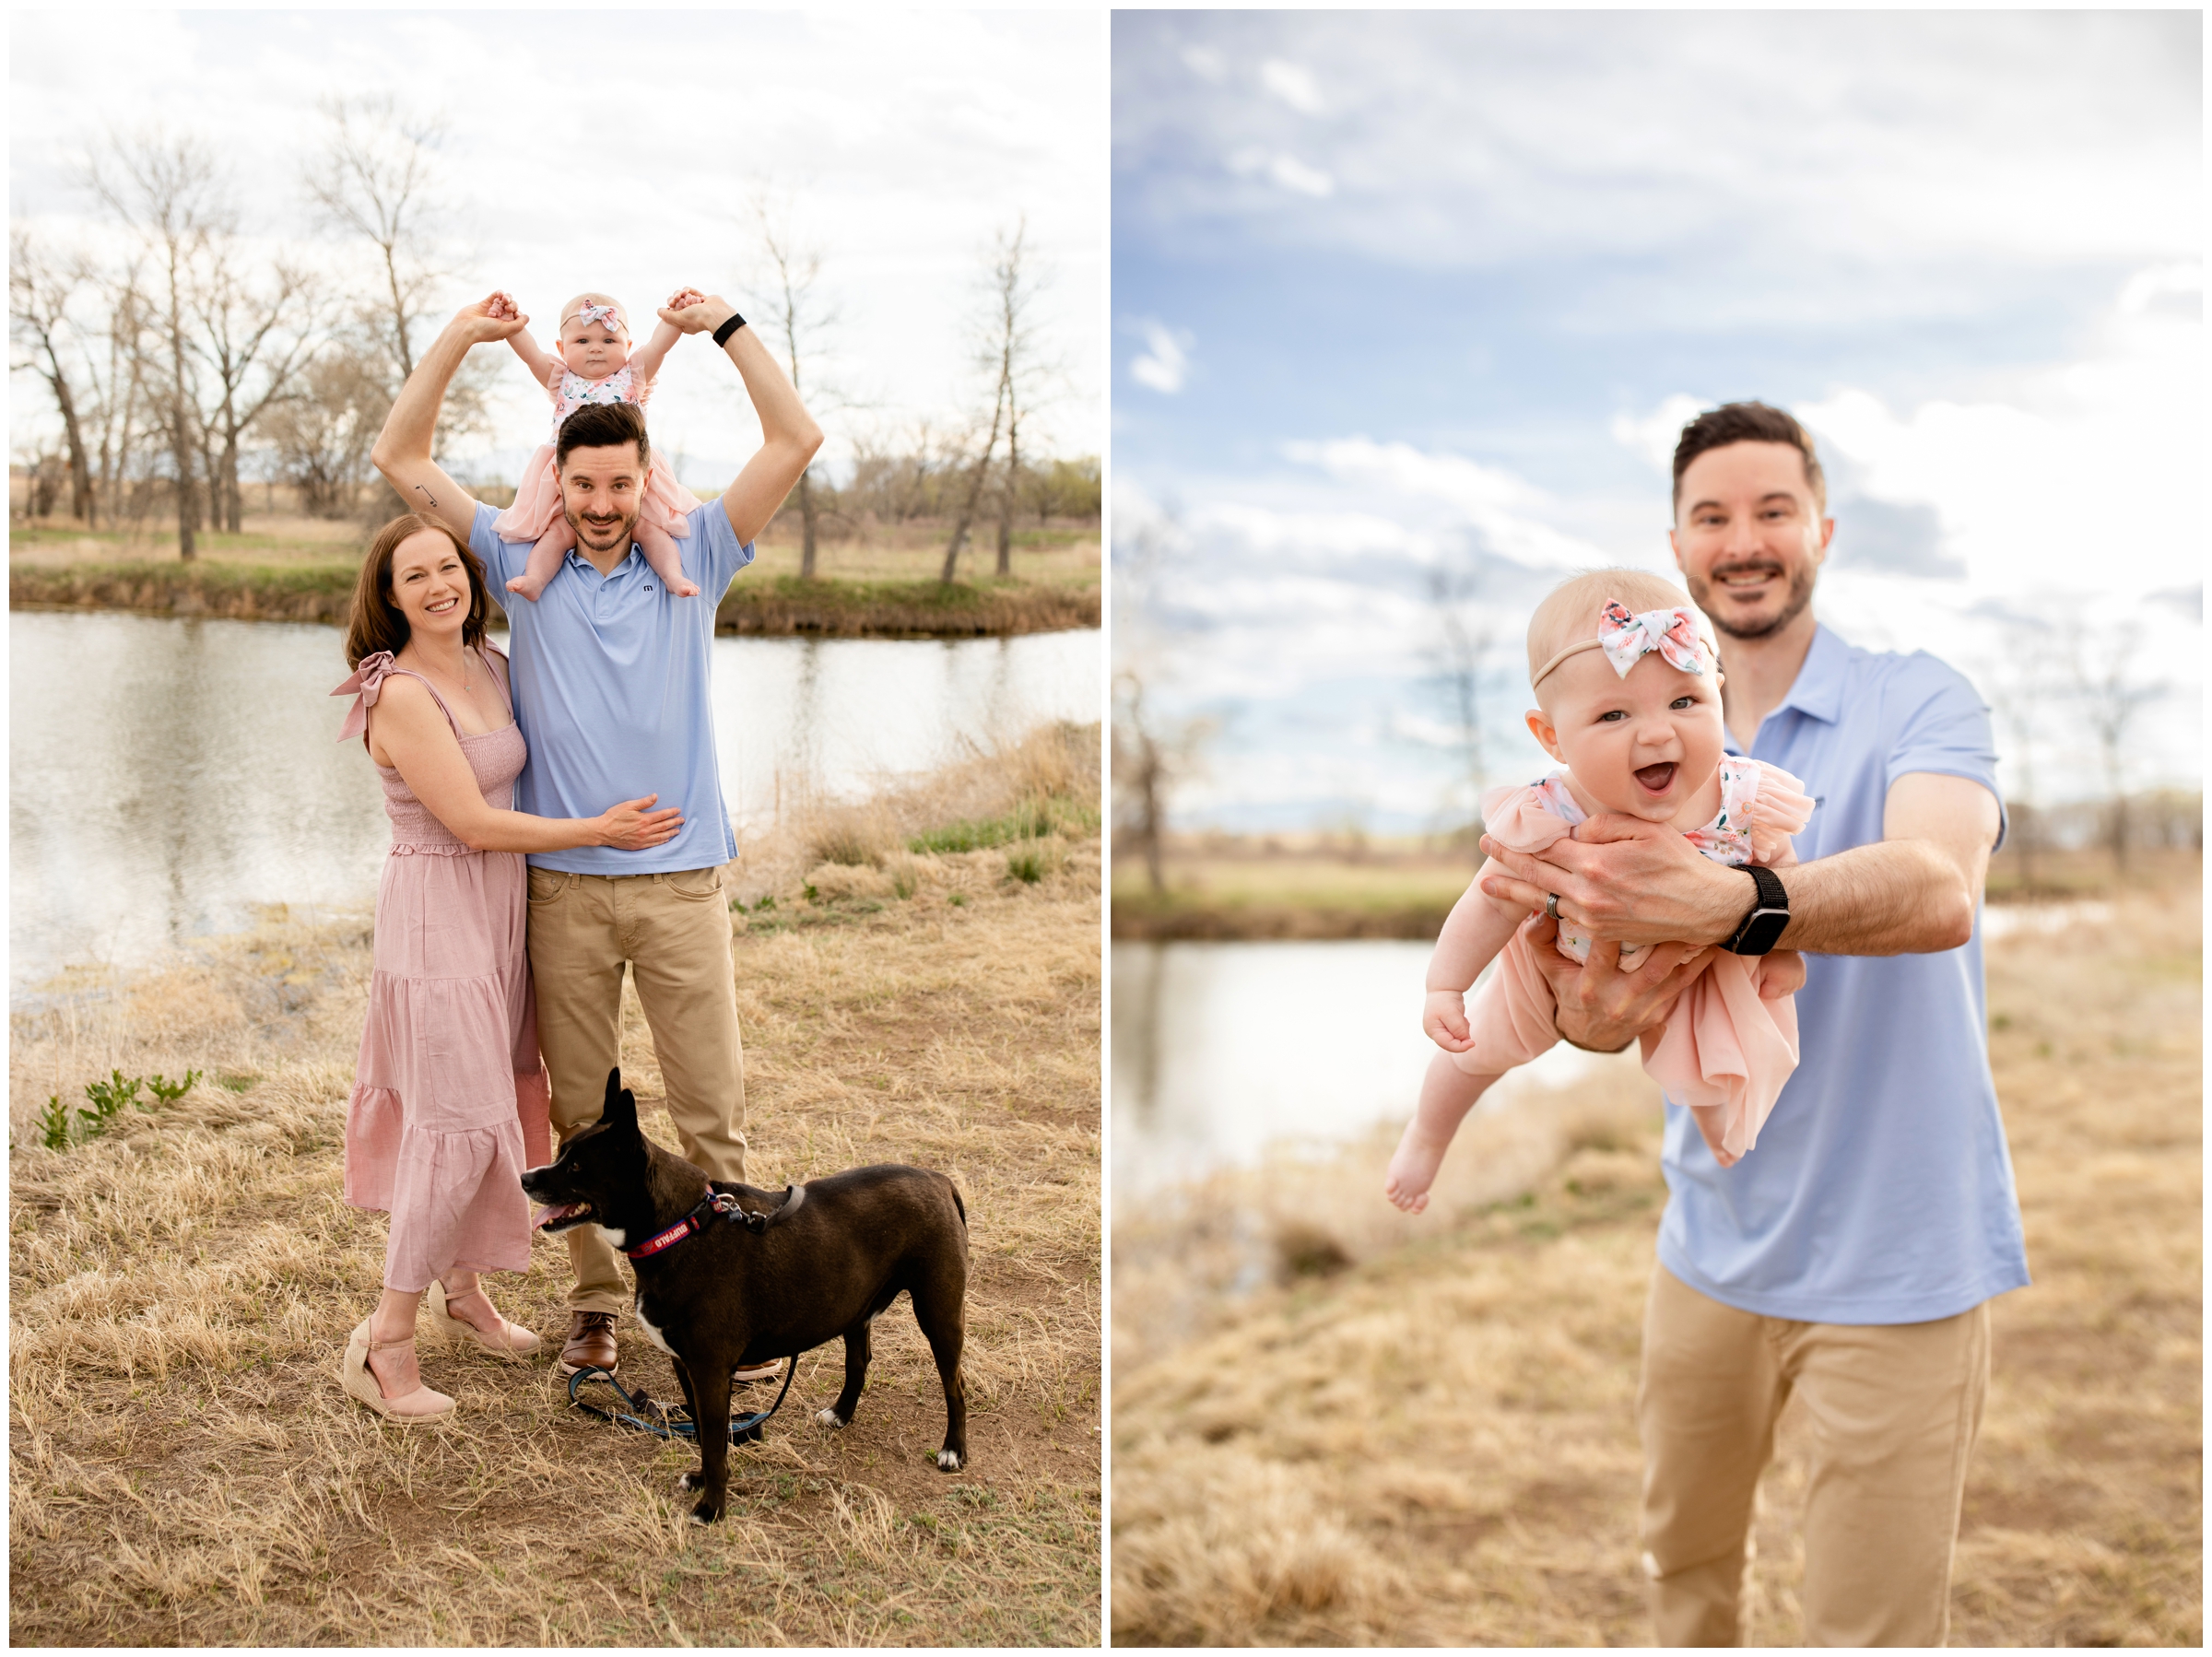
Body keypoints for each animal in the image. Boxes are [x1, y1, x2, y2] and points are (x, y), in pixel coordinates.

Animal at [522, 1075, 973, 1522]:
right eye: (561, 1154)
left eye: (577, 1166)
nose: (525, 1178)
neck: (681, 1226)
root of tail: (939, 1181)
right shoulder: (688, 1368)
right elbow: (706, 1434)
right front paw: (703, 1481)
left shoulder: (709, 1371)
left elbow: (713, 1442)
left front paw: (712, 1508)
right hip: (855, 1309)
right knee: (859, 1361)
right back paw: (841, 1414)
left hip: (939, 1313)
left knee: (954, 1383)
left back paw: (953, 1450)